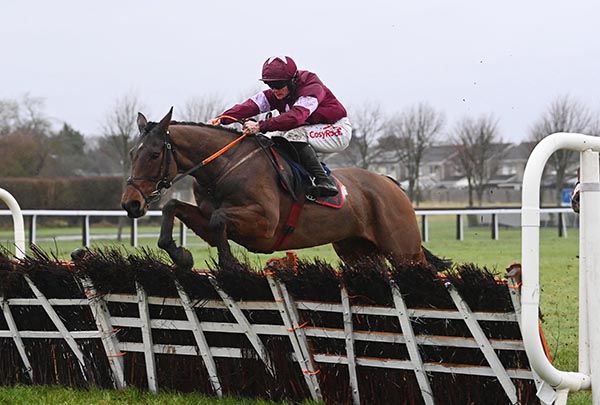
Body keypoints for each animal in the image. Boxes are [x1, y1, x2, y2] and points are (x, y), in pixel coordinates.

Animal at [120, 109, 432, 270]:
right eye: (132, 152)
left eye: (154, 155)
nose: (130, 203)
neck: (223, 167)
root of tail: (390, 183)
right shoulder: (207, 222)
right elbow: (175, 208)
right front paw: (181, 256)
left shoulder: (265, 226)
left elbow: (219, 218)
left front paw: (230, 264)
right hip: (357, 250)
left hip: (403, 250)